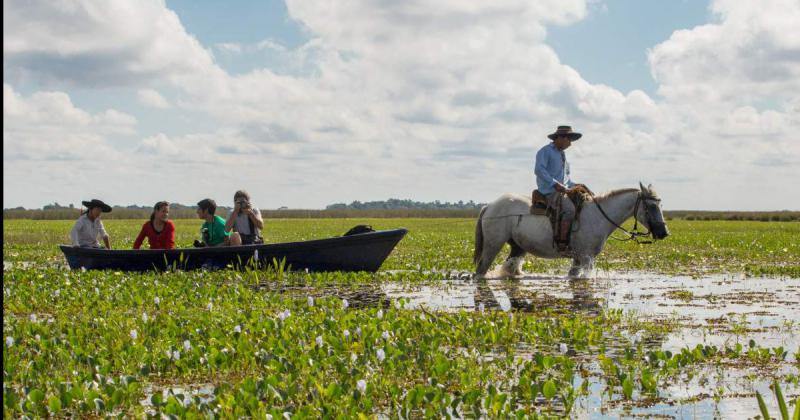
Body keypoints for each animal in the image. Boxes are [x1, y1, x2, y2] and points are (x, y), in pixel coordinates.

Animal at [476, 185, 668, 278]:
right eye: (651, 206)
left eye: (660, 204)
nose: (664, 233)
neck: (598, 216)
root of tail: (489, 206)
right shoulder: (586, 258)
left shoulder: (577, 259)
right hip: (493, 245)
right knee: (481, 270)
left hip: (518, 248)